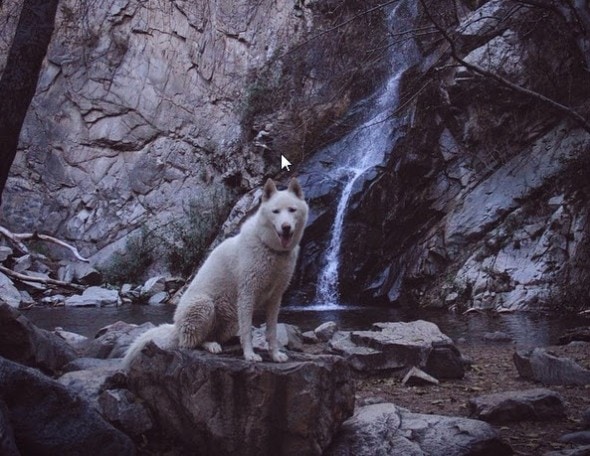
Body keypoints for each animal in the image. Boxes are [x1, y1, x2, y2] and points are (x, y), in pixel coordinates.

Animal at [123, 178, 312, 366]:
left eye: (292, 210)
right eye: (275, 211)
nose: (286, 227)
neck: (271, 248)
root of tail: (176, 328)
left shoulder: (275, 299)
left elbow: (271, 332)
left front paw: (275, 355)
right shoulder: (247, 294)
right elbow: (248, 332)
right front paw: (250, 355)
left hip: (232, 319)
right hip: (204, 305)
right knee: (191, 343)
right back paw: (211, 345)